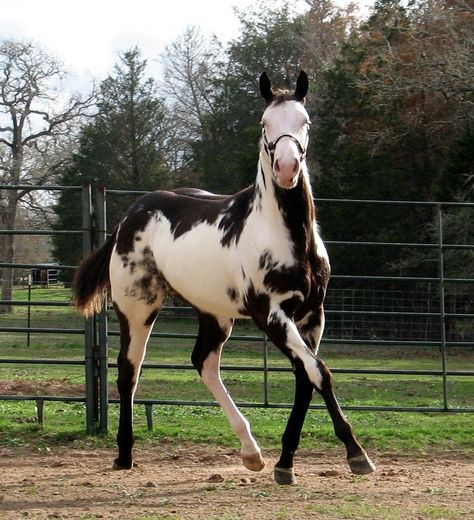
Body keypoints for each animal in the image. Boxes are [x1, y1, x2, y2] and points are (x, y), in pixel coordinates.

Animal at [74, 71, 376, 486]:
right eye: (264, 124)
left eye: (305, 122)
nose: (286, 169)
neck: (288, 237)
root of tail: (128, 217)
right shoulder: (271, 315)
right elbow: (319, 372)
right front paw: (356, 453)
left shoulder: (312, 316)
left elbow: (306, 377)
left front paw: (285, 463)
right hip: (137, 310)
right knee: (128, 371)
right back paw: (124, 454)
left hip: (214, 314)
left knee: (203, 362)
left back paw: (252, 453)